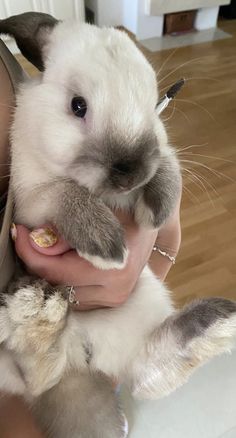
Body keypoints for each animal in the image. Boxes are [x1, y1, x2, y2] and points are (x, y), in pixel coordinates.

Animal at [0, 12, 236, 436]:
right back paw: (38, 313)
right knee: (37, 379)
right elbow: (65, 194)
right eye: (77, 106)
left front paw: (156, 208)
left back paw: (214, 321)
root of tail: (82, 358)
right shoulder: (32, 199)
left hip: (142, 305)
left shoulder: (163, 151)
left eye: (151, 105)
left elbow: (169, 167)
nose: (130, 175)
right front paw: (108, 246)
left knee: (143, 372)